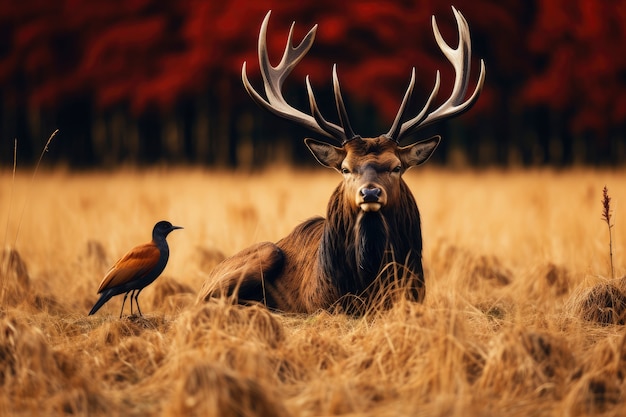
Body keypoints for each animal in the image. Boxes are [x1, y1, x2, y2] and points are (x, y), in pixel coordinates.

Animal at [197, 7, 486, 312]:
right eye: (346, 169)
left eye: (396, 167)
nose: (370, 193)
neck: (369, 282)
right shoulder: (323, 303)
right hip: (264, 252)